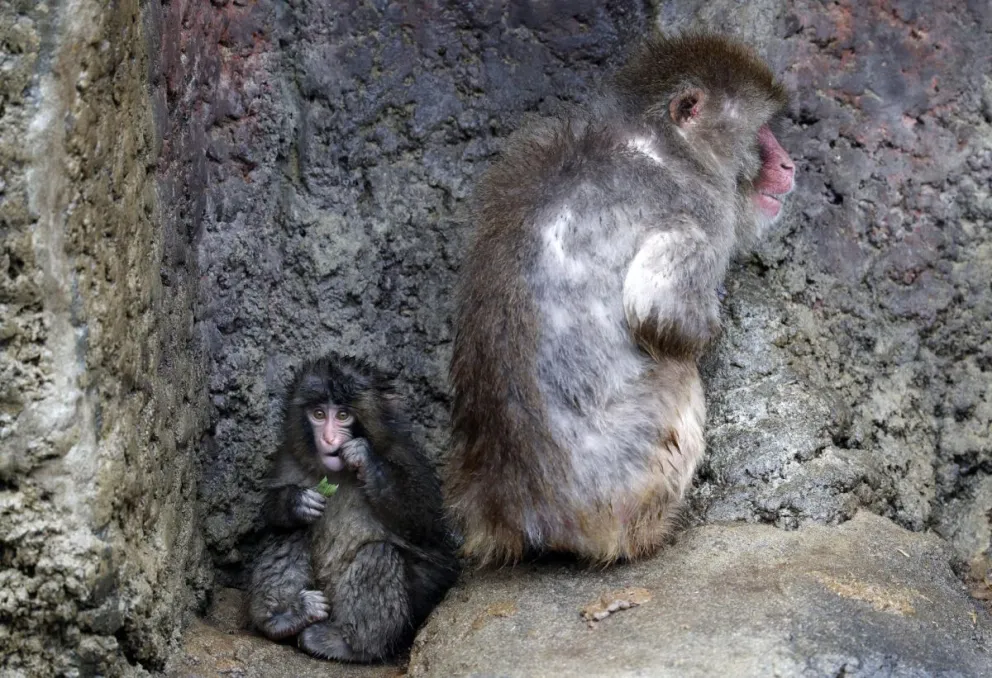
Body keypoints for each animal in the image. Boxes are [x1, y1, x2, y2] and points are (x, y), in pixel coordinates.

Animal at [248, 353, 460, 662]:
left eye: (343, 416)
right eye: (319, 414)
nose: (329, 439)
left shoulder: (406, 457)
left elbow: (428, 526)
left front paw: (367, 461)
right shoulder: (289, 459)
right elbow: (270, 517)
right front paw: (295, 502)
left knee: (379, 553)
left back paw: (349, 644)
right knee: (290, 533)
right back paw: (284, 618)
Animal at [445, 32, 796, 566]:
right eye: (763, 132)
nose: (788, 164)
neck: (667, 146)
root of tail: (520, 512)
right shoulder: (700, 211)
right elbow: (661, 312)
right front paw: (710, 324)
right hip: (622, 484)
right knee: (676, 375)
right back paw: (652, 533)